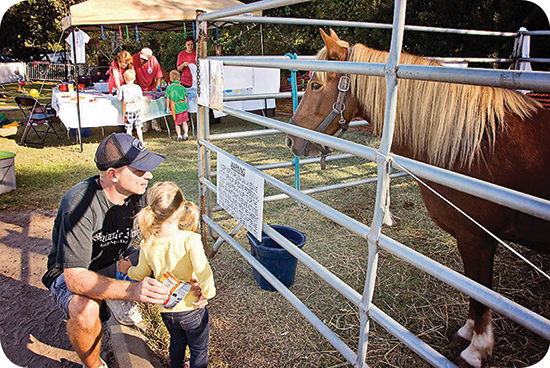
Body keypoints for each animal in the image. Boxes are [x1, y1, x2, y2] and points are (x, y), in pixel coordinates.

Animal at [286, 29, 550, 368]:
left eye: (316, 85)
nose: (291, 139)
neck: (475, 145)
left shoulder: (477, 239)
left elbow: (481, 293)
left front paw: (476, 349)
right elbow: (473, 290)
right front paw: (466, 333)